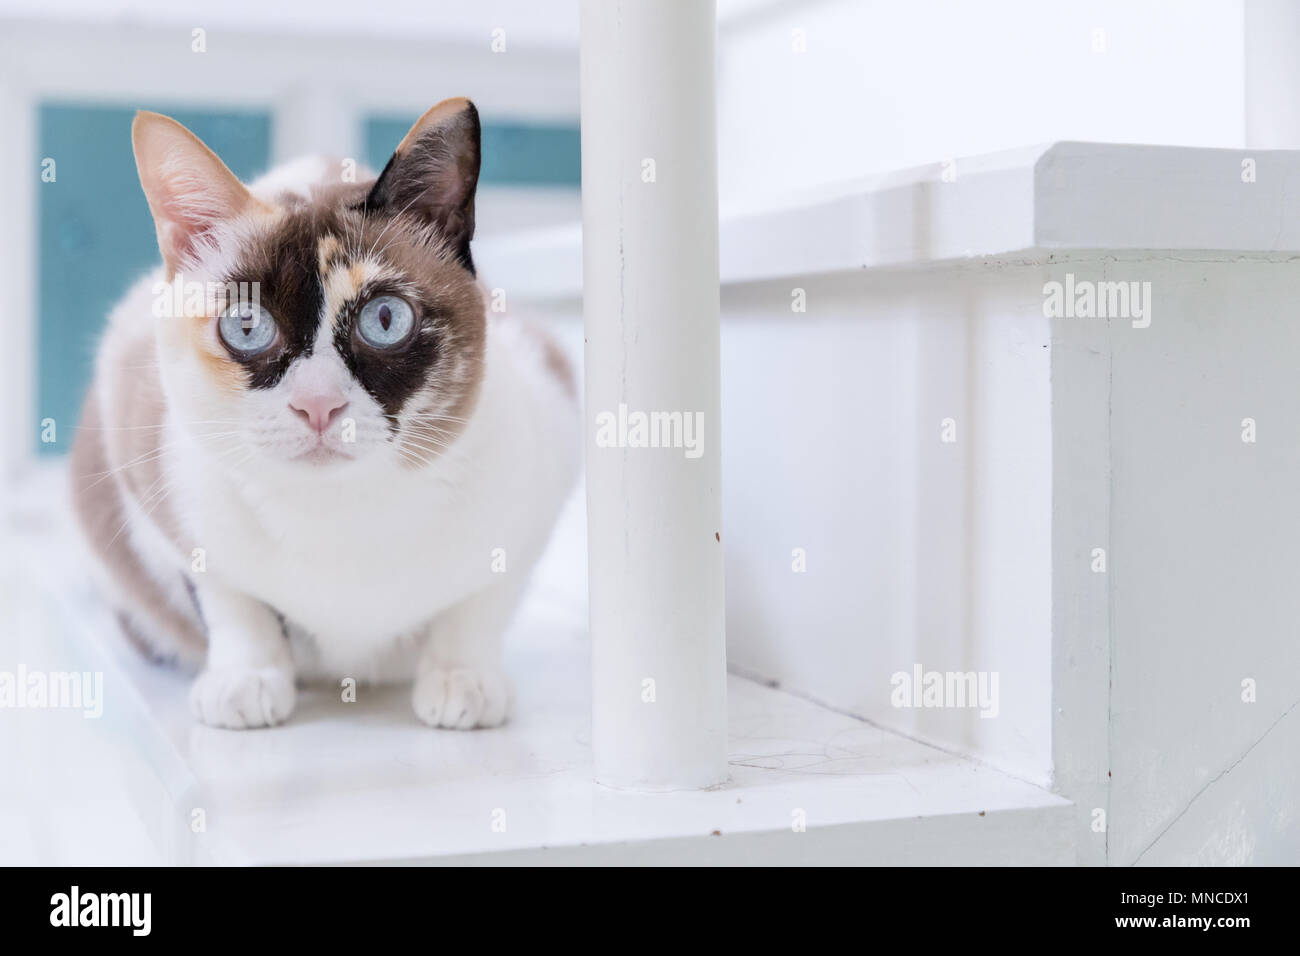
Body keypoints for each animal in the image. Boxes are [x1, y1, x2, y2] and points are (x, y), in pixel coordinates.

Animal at [69, 98, 579, 733]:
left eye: (384, 320)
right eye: (246, 326)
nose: (317, 404)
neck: (339, 517)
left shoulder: (547, 455)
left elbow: (478, 606)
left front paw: (463, 682)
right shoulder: (150, 479)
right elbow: (232, 604)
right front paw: (246, 682)